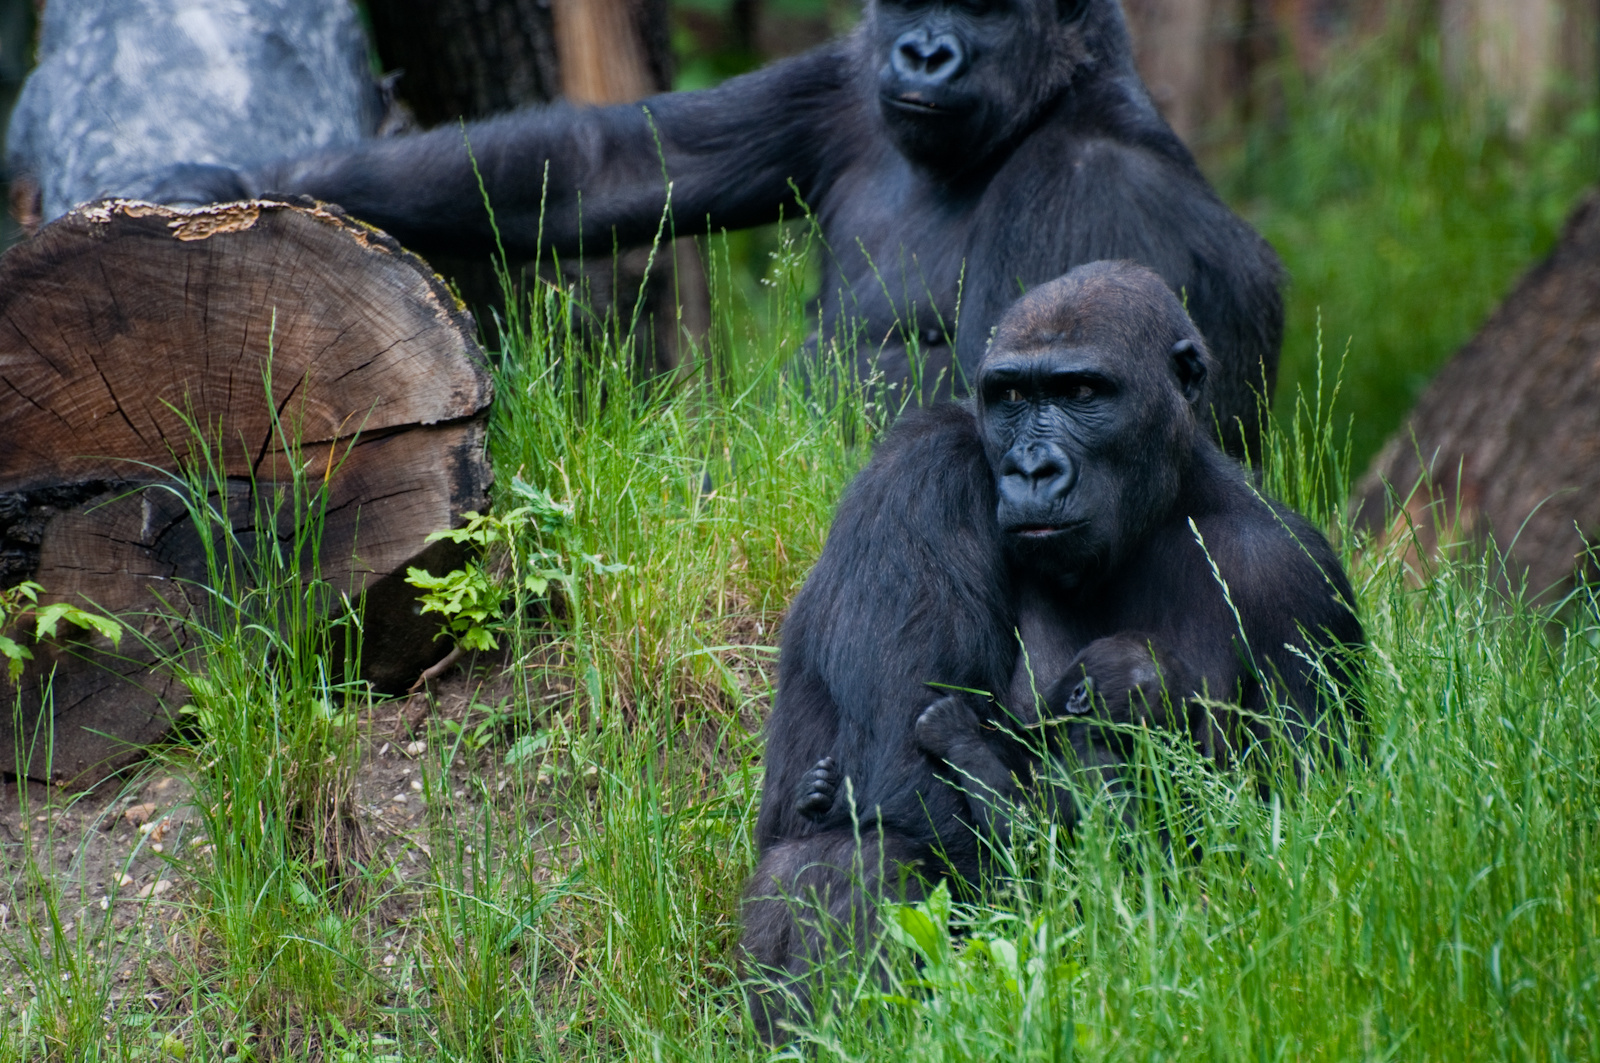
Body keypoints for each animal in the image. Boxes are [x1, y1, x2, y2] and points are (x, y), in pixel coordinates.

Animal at [134, 0, 1286, 451]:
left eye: (990, 8)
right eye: (911, 1)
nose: (923, 51)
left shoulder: (1088, 182)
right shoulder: (838, 82)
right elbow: (608, 168)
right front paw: (222, 179)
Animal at [748, 260, 1363, 1043]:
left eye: (1081, 393)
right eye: (1011, 396)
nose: (1031, 469)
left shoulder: (1301, 580)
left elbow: (1304, 847)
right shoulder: (922, 472)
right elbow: (896, 777)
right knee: (859, 849)